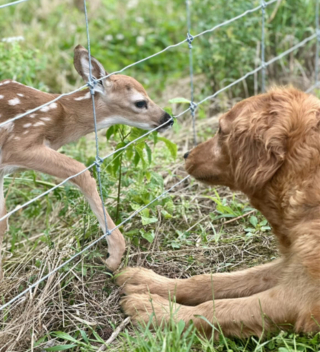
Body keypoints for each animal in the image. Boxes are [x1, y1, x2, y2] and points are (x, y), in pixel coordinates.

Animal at [116, 87, 318, 338]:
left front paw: (154, 309)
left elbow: (215, 308)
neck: (306, 178)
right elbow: (212, 281)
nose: (186, 154)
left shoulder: (300, 298)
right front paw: (151, 283)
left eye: (221, 130)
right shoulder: (292, 264)